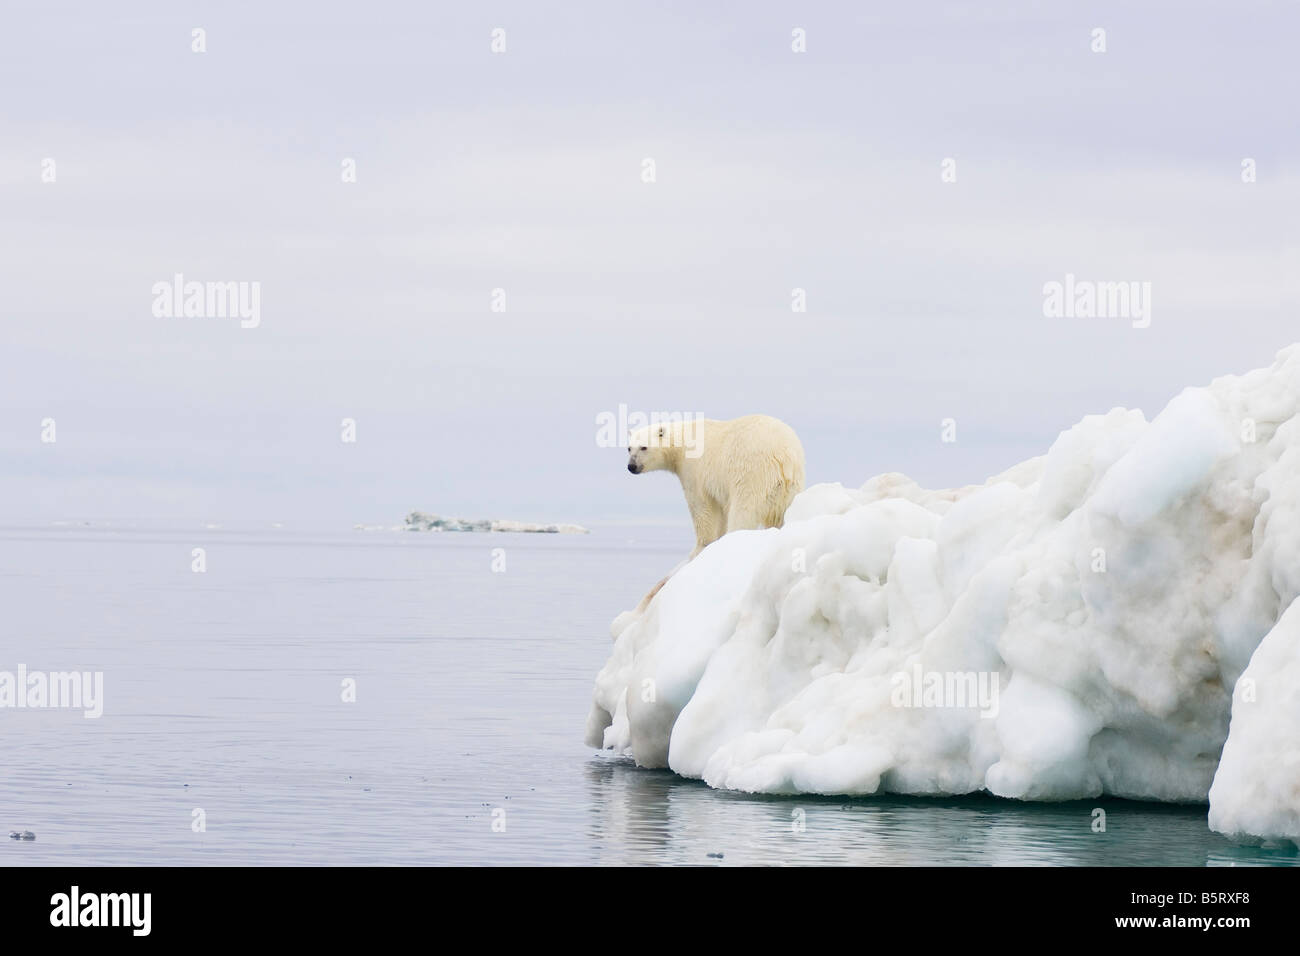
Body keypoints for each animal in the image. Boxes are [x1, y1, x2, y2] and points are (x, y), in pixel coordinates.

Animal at [625, 414, 805, 609]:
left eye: (644, 447)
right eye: (629, 448)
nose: (631, 466)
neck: (682, 442)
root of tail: (785, 458)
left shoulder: (694, 470)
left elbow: (702, 507)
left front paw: (700, 547)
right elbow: (720, 510)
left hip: (752, 475)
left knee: (743, 511)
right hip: (789, 487)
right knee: (780, 515)